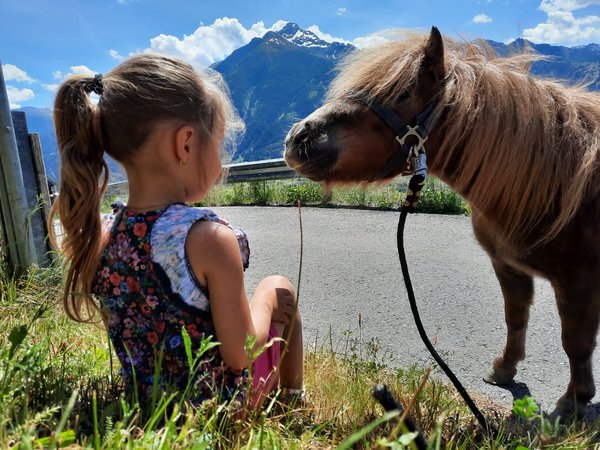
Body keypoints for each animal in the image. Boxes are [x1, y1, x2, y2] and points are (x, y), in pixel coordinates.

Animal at [284, 27, 600, 414]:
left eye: (402, 92)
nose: (299, 137)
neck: (556, 181)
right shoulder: (508, 266)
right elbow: (515, 317)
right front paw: (504, 368)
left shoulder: (578, 280)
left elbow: (575, 341)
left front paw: (574, 399)